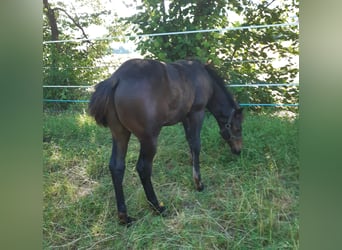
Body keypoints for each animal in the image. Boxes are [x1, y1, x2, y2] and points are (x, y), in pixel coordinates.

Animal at [88, 58, 243, 225]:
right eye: (238, 128)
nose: (238, 150)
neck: (204, 78)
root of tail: (116, 79)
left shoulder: (185, 117)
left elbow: (190, 142)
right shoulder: (197, 113)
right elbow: (196, 144)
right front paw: (198, 183)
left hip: (120, 133)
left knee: (117, 167)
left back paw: (124, 217)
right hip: (149, 139)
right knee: (143, 168)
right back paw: (157, 207)